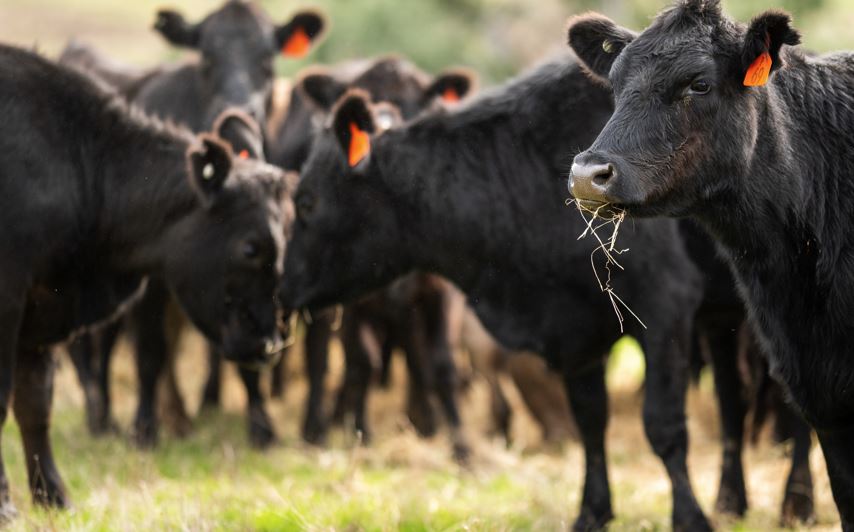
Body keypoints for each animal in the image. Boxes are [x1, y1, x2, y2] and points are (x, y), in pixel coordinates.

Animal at [0, 44, 289, 518]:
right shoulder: (9, 299)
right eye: (250, 247)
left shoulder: (41, 313)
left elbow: (34, 404)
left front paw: (54, 497)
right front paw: (7, 505)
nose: (269, 343)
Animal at [279, 56, 714, 530]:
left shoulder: (665, 306)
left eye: (306, 201)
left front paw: (691, 516)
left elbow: (664, 426)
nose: (283, 284)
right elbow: (590, 421)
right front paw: (592, 511)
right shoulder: (577, 331)